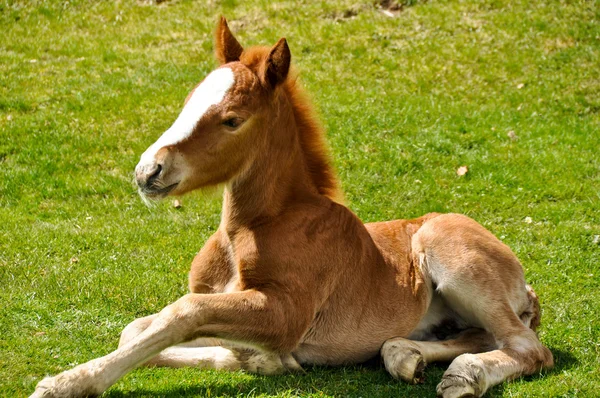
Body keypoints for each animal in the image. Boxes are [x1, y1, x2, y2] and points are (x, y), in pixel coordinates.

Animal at [29, 18, 552, 398]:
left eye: (232, 120)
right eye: (188, 101)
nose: (148, 172)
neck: (254, 227)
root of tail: (524, 283)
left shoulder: (285, 312)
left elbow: (183, 313)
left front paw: (64, 382)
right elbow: (139, 328)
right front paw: (263, 359)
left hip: (450, 255)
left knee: (528, 347)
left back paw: (463, 376)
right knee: (480, 336)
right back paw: (405, 356)